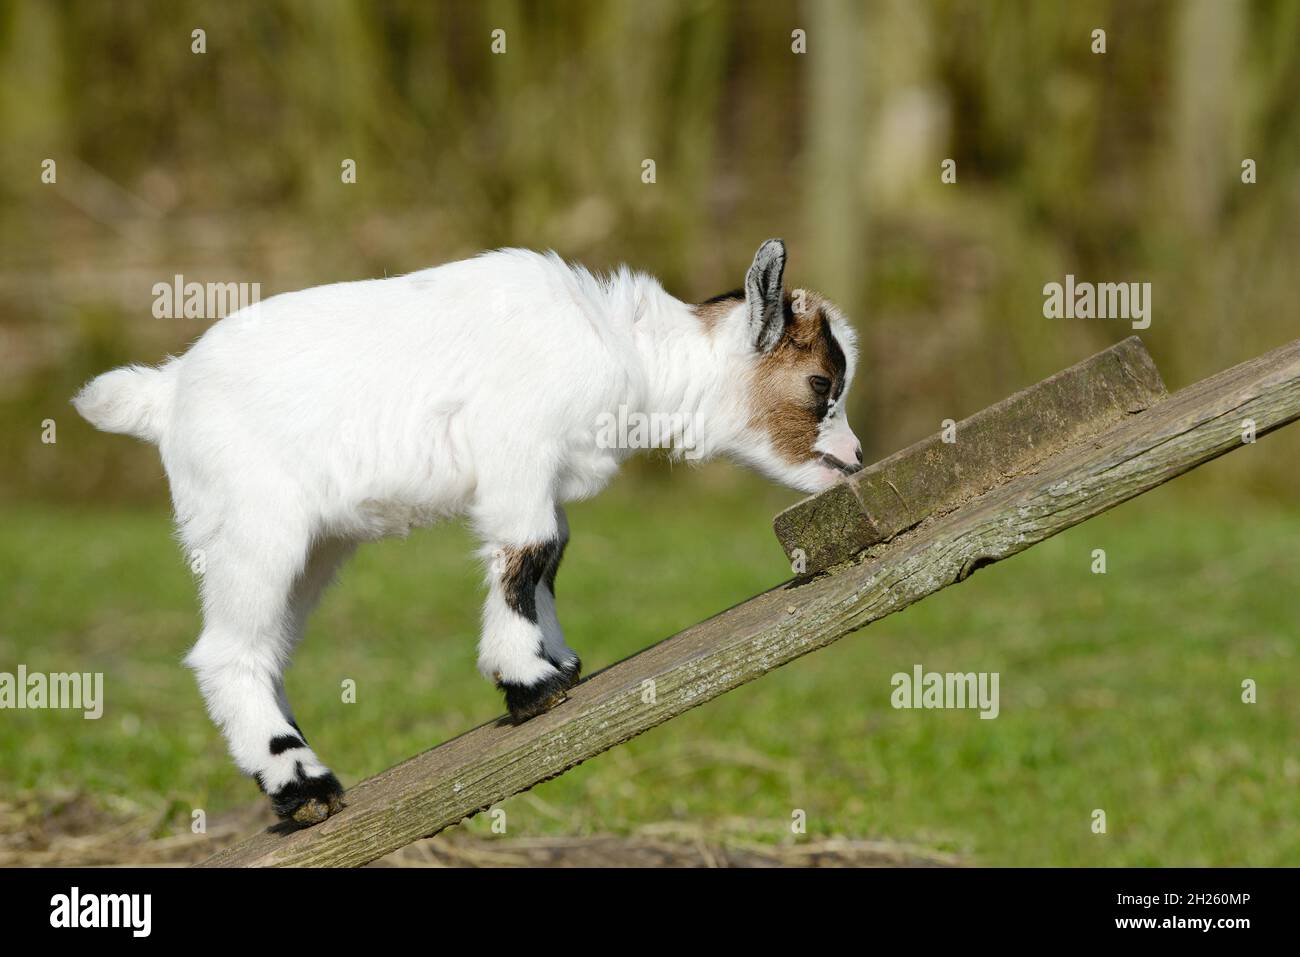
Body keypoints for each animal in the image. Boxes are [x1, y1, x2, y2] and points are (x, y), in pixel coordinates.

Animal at [76, 237, 857, 821]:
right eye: (822, 383)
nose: (852, 461)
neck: (625, 348)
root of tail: (164, 393)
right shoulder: (516, 454)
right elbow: (529, 547)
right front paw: (527, 682)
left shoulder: (542, 475)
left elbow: (550, 554)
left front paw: (559, 663)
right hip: (255, 529)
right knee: (225, 651)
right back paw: (302, 785)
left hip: (314, 546)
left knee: (264, 647)